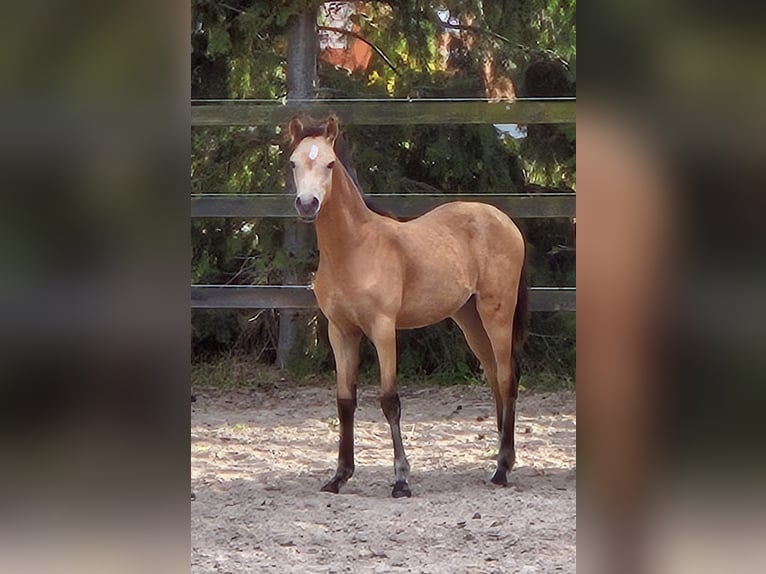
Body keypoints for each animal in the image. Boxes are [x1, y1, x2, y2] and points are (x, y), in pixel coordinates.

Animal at [288, 115, 528, 498]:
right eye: (293, 163)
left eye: (329, 164)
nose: (307, 204)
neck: (354, 249)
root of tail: (504, 221)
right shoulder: (341, 332)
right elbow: (345, 401)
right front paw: (339, 476)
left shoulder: (383, 330)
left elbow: (390, 400)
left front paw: (401, 479)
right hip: (469, 318)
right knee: (493, 375)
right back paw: (503, 459)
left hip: (497, 313)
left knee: (507, 376)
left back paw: (502, 470)